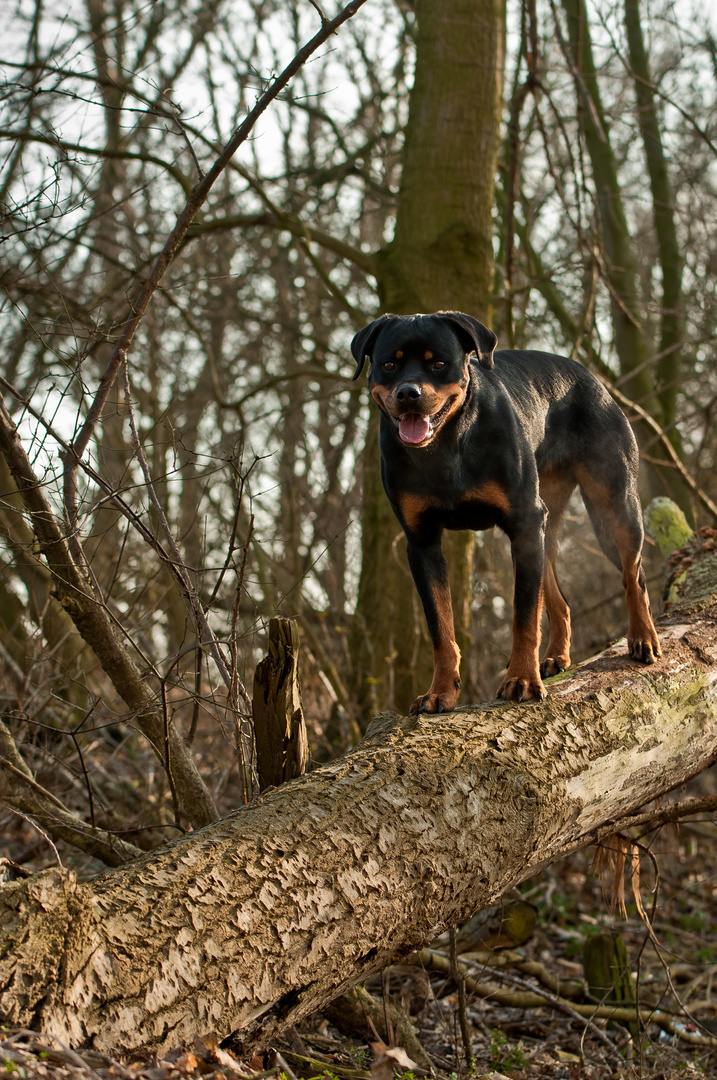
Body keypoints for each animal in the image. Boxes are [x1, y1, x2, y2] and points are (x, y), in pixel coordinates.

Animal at [352, 311, 660, 717]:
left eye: (439, 364)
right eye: (389, 365)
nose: (408, 393)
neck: (448, 446)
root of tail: (591, 377)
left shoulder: (523, 523)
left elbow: (524, 617)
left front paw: (522, 681)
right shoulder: (422, 542)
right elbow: (441, 628)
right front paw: (440, 693)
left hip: (613, 504)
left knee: (633, 574)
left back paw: (642, 639)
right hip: (546, 530)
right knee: (560, 599)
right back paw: (557, 657)